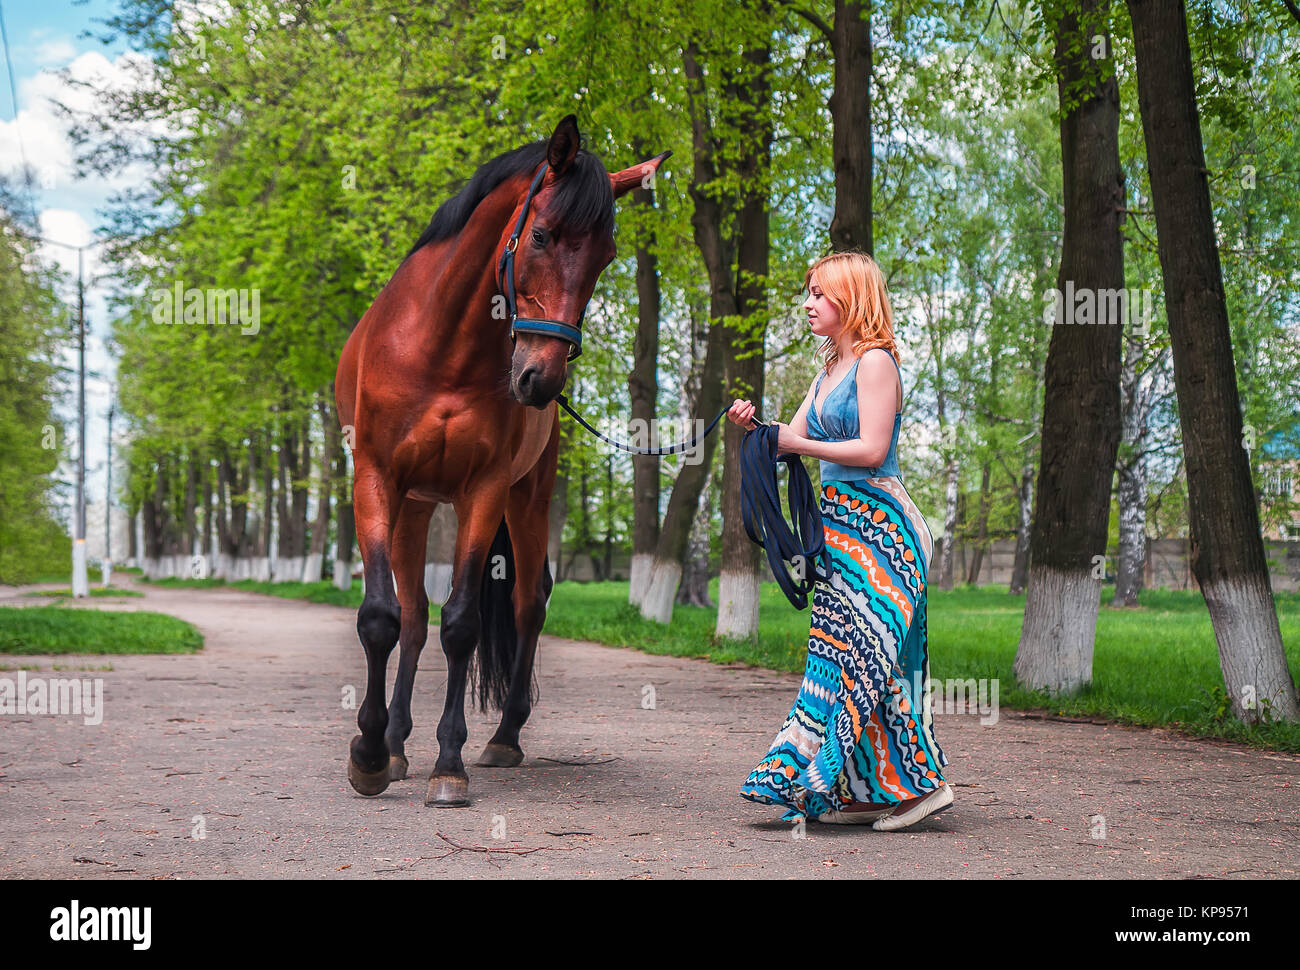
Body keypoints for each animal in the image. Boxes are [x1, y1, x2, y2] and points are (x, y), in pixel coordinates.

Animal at [335, 115, 670, 806]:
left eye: (606, 257)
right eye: (540, 234)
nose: (540, 379)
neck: (440, 348)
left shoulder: (484, 490)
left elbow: (462, 622)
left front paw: (449, 764)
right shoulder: (377, 479)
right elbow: (382, 617)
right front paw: (371, 755)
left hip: (527, 498)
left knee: (528, 602)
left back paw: (504, 737)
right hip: (414, 506)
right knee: (413, 616)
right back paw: (397, 743)